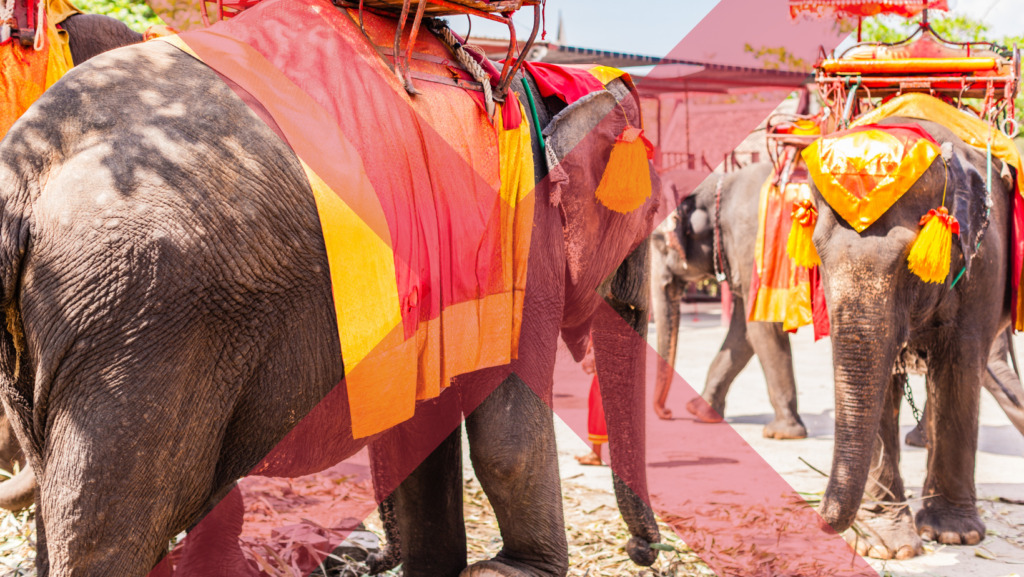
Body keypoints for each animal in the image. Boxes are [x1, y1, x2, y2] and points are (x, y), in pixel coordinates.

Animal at [0, 28, 659, 577]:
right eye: (652, 213)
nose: (644, 550)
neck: (542, 88)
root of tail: (24, 176)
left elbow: (420, 430)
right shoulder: (524, 243)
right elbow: (506, 425)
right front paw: (516, 569)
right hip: (141, 316)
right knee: (116, 525)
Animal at [651, 162, 811, 438]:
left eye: (660, 242)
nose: (667, 413)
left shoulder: (753, 245)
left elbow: (762, 327)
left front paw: (781, 433)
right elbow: (742, 331)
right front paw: (699, 412)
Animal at [806, 117, 1015, 561]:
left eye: (907, 260)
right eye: (818, 253)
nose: (817, 520)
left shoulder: (984, 262)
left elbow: (960, 366)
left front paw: (955, 536)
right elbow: (882, 380)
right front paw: (883, 545)